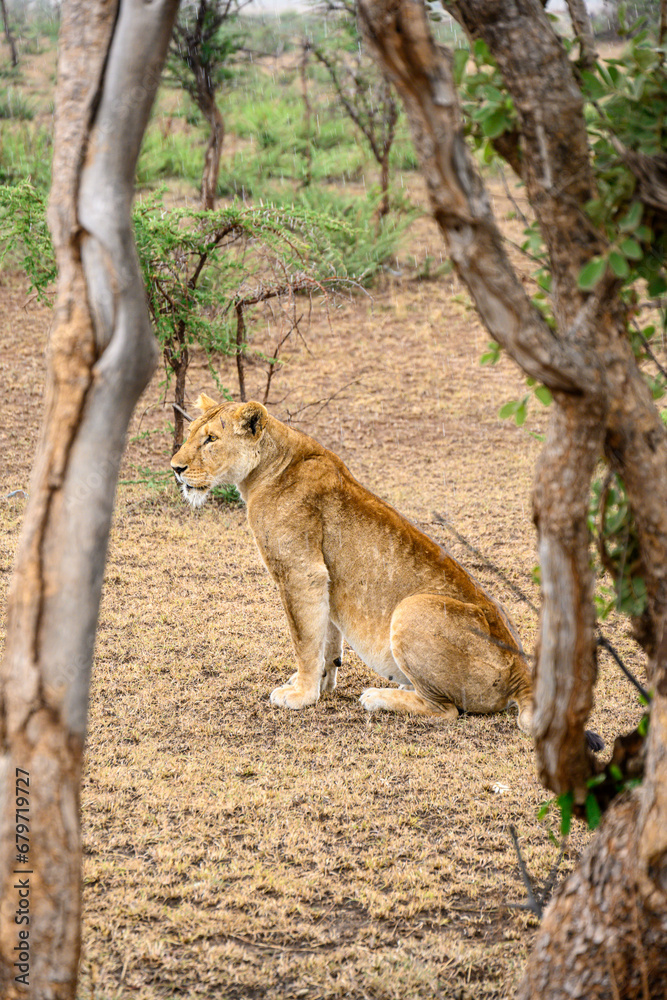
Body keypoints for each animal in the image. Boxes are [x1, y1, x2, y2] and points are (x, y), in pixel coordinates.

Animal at [170, 393, 539, 733]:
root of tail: (521, 670)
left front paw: (301, 695)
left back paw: (378, 697)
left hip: (411, 609)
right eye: (191, 434)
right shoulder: (324, 579)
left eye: (211, 439)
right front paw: (320, 684)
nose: (175, 468)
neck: (268, 466)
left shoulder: (300, 572)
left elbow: (303, 639)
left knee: (446, 710)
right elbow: (325, 638)